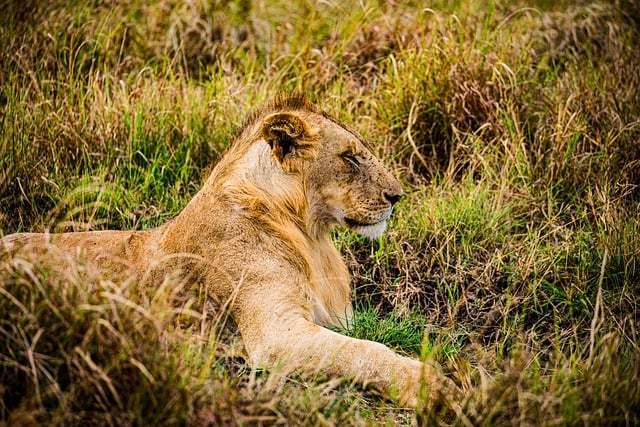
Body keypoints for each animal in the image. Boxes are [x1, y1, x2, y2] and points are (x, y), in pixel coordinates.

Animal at [2, 93, 448, 408]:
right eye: (350, 157)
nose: (398, 196)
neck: (309, 234)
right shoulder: (276, 335)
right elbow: (365, 352)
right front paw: (429, 385)